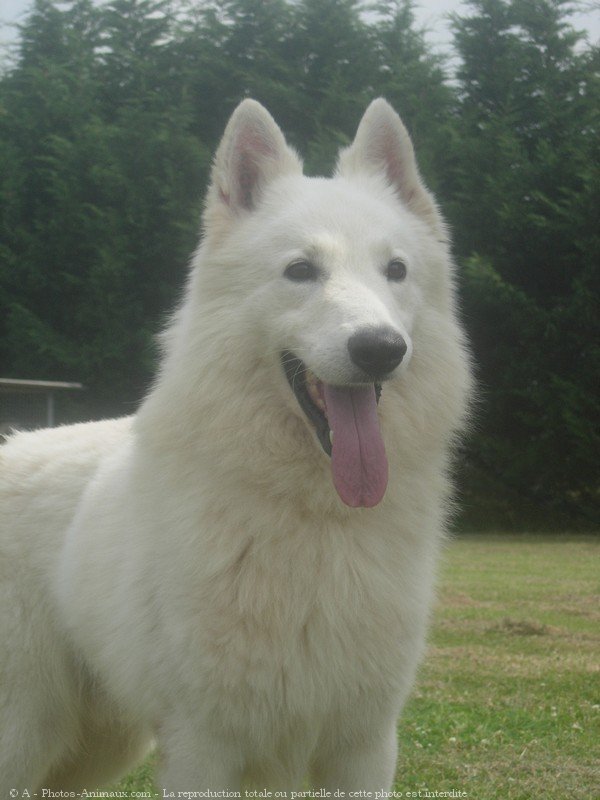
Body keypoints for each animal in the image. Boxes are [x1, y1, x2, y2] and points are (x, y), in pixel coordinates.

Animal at [0, 98, 474, 788]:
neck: (314, 519)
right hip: (27, 732)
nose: (381, 349)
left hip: (94, 747)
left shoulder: (363, 744)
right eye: (301, 271)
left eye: (395, 271)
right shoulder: (203, 744)